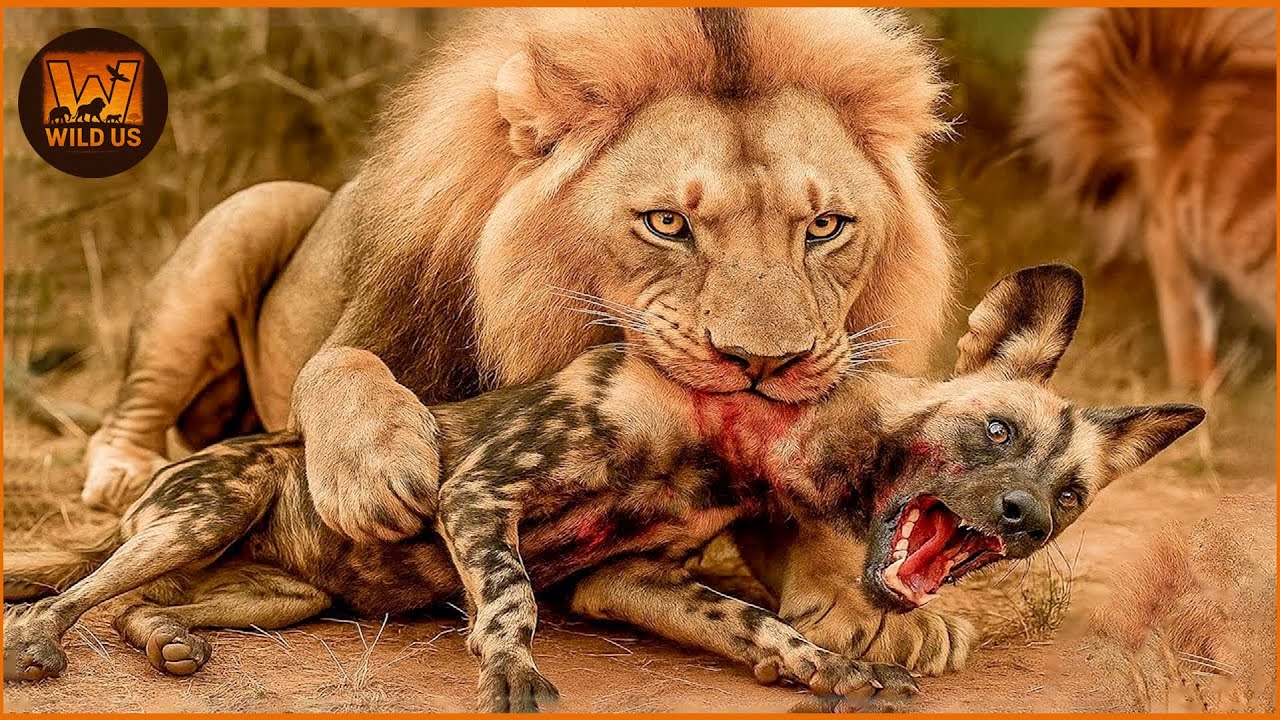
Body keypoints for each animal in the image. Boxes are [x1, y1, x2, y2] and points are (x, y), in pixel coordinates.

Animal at [80, 8, 962, 673]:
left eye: (825, 227)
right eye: (667, 224)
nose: (764, 363)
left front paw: (882, 611)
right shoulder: (374, 332)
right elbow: (335, 362)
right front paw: (377, 472)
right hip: (254, 209)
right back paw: (117, 475)